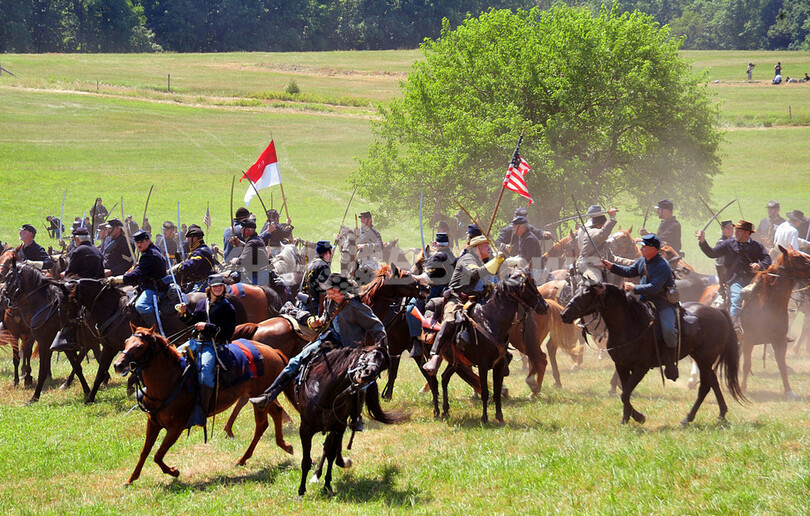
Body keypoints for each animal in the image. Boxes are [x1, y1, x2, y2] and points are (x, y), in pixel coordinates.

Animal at [112, 324, 292, 486]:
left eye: (139, 346)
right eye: (126, 342)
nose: (117, 365)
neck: (172, 380)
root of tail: (273, 351)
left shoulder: (176, 428)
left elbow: (158, 454)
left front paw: (174, 471)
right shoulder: (153, 423)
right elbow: (145, 452)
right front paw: (130, 479)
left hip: (258, 398)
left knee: (262, 424)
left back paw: (247, 457)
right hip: (262, 399)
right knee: (275, 414)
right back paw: (281, 446)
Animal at [292, 344, 408, 498]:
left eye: (382, 367)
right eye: (366, 356)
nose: (368, 373)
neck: (326, 392)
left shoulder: (337, 427)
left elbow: (331, 454)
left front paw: (327, 486)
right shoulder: (305, 429)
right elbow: (306, 461)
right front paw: (301, 491)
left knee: (329, 448)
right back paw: (316, 476)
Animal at [740, 244, 808, 398]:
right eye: (798, 257)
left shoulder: (779, 340)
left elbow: (782, 365)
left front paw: (789, 391)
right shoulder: (748, 339)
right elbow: (747, 364)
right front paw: (743, 389)